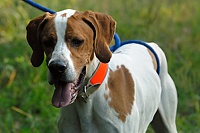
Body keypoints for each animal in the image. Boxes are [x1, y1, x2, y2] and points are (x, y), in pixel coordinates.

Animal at [25, 8, 177, 132]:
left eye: (77, 41)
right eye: (47, 42)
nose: (57, 67)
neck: (86, 100)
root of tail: (148, 44)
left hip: (168, 123)